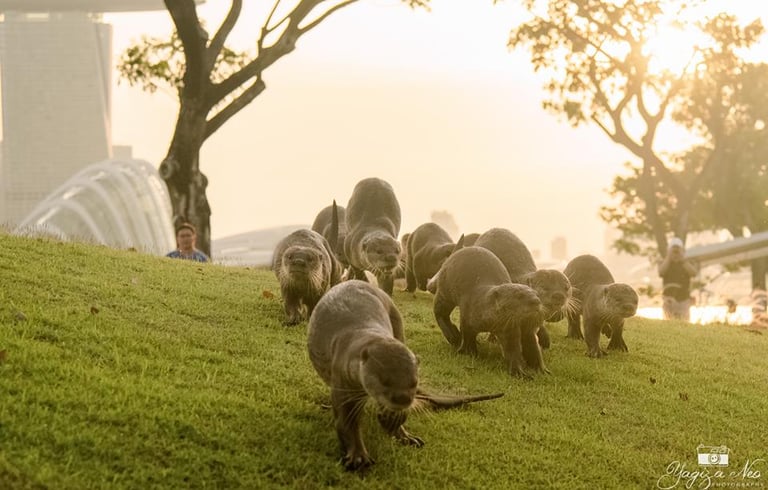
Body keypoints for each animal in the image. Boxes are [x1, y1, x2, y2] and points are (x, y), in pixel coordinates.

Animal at [306, 280, 504, 470]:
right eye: (383, 380)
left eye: (414, 382)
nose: (402, 398)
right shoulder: (344, 379)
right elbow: (347, 422)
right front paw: (358, 456)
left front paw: (396, 422)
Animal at [432, 247, 544, 378]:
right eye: (519, 295)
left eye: (537, 295)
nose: (536, 301)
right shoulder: (467, 314)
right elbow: (467, 334)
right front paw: (469, 352)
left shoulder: (508, 328)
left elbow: (512, 348)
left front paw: (520, 372)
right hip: (445, 292)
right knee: (439, 312)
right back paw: (453, 336)